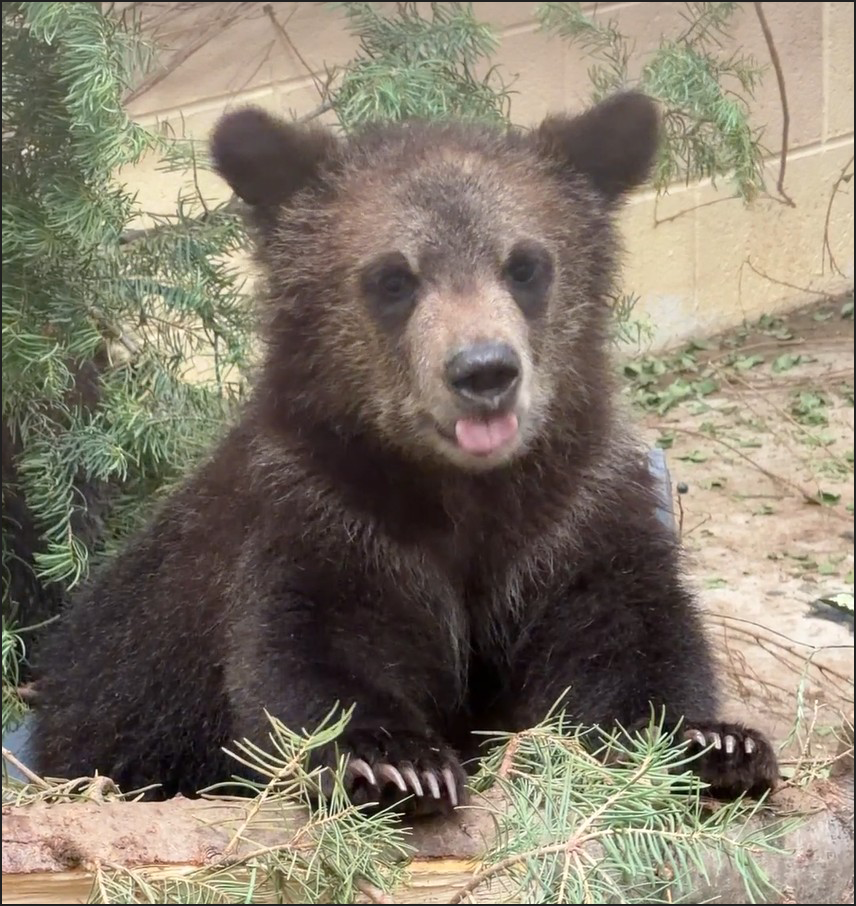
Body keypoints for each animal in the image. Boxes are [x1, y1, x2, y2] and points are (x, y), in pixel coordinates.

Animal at [30, 91, 779, 815]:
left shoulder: (570, 516)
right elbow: (314, 652)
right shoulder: (326, 520)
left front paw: (716, 745)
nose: (484, 372)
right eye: (394, 278)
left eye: (526, 265)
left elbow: (625, 634)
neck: (460, 492)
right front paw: (396, 762)